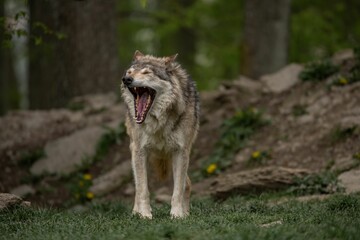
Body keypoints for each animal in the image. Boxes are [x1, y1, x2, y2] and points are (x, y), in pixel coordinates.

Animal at [121, 49, 200, 218]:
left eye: (146, 72)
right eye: (129, 72)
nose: (126, 79)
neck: (159, 122)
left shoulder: (180, 151)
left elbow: (177, 190)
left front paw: (177, 215)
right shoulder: (139, 151)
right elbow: (143, 189)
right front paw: (144, 215)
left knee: (187, 184)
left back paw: (186, 212)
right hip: (135, 154)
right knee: (137, 187)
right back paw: (135, 212)